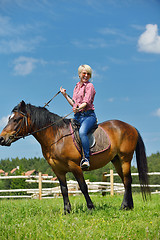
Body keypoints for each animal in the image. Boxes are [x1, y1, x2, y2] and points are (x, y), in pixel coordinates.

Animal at [0, 100, 150, 213]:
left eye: (17, 119)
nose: (2, 138)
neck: (57, 136)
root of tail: (130, 127)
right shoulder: (58, 170)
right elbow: (64, 189)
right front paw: (67, 211)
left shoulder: (75, 166)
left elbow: (83, 186)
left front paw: (90, 208)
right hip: (117, 160)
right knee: (125, 181)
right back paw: (128, 206)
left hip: (125, 158)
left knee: (128, 180)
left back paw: (124, 206)